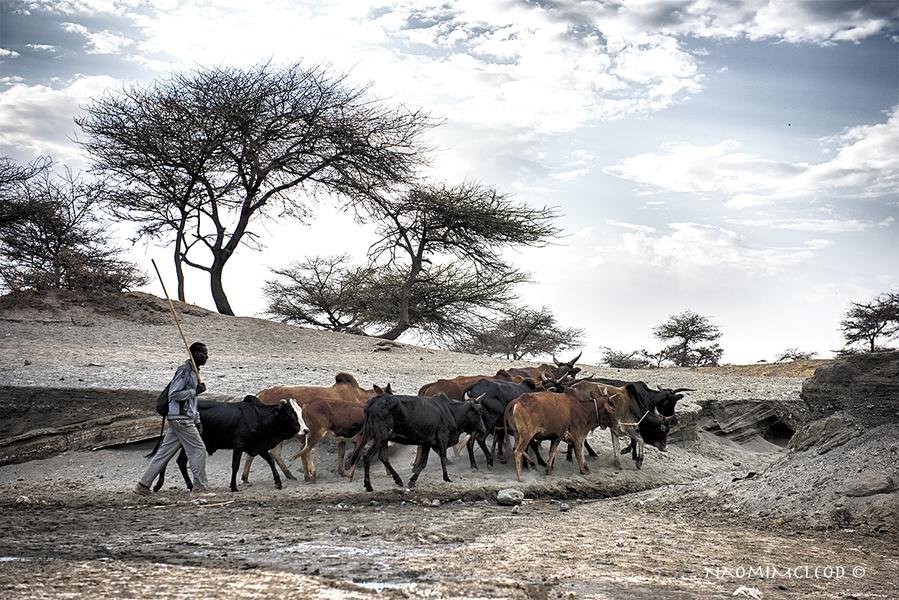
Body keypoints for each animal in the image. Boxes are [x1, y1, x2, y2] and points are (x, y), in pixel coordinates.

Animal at [151, 396, 307, 492]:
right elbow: (235, 465)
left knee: (180, 461)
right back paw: (161, 484)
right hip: (183, 440)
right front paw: (233, 486)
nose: (306, 430)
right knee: (167, 458)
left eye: (300, 411)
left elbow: (270, 461)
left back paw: (189, 485)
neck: (259, 417)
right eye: (290, 412)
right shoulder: (238, 446)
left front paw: (278, 482)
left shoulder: (258, 447)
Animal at [346, 391, 487, 492]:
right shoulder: (442, 438)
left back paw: (398, 480)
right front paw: (446, 478)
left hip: (383, 438)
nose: (483, 429)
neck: (451, 411)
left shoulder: (427, 442)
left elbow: (423, 463)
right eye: (479, 411)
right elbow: (442, 458)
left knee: (383, 457)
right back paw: (369, 485)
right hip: (380, 437)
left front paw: (412, 480)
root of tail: (374, 400)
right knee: (367, 457)